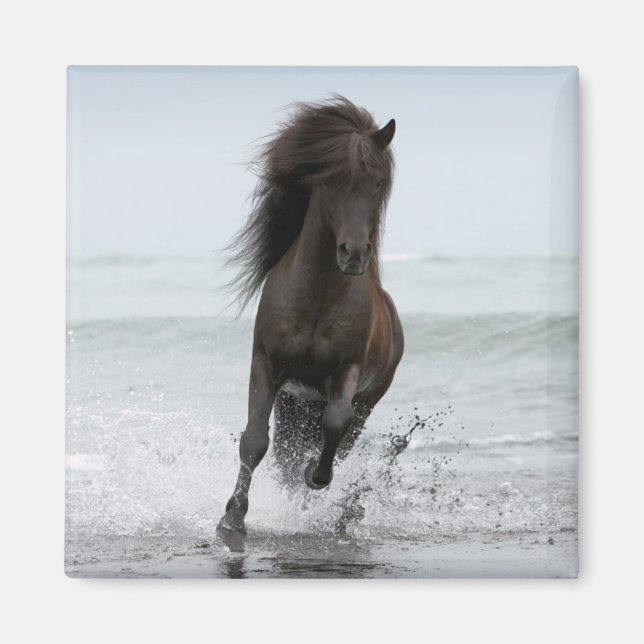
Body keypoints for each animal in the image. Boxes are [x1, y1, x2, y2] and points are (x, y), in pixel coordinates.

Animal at [216, 96, 404, 552]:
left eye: (376, 183)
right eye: (331, 181)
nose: (353, 253)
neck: (317, 296)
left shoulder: (346, 373)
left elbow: (332, 428)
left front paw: (314, 477)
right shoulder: (266, 365)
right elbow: (253, 441)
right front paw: (232, 520)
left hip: (364, 403)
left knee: (335, 439)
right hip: (293, 401)